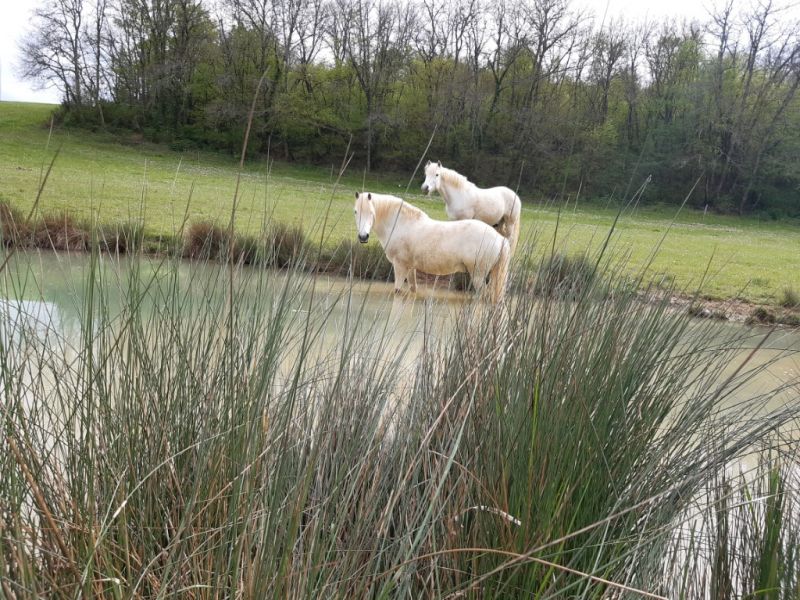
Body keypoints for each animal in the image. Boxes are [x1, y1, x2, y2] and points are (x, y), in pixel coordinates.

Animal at [354, 192, 510, 304]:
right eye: (355, 211)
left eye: (371, 212)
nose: (363, 236)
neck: (400, 224)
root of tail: (500, 239)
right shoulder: (410, 268)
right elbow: (413, 289)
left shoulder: (400, 267)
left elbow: (397, 291)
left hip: (478, 276)